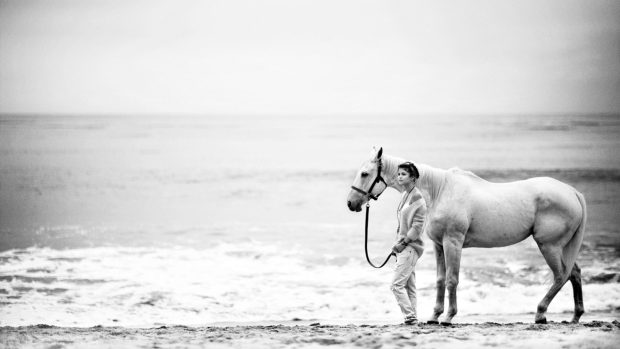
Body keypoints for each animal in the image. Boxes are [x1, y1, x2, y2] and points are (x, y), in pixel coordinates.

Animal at [348, 147, 588, 324]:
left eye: (365, 173)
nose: (351, 203)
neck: (439, 191)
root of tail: (572, 192)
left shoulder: (452, 242)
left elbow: (452, 279)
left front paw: (448, 316)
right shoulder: (439, 245)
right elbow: (440, 279)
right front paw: (434, 316)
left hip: (549, 246)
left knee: (561, 275)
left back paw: (540, 313)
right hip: (561, 247)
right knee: (574, 273)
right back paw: (575, 316)